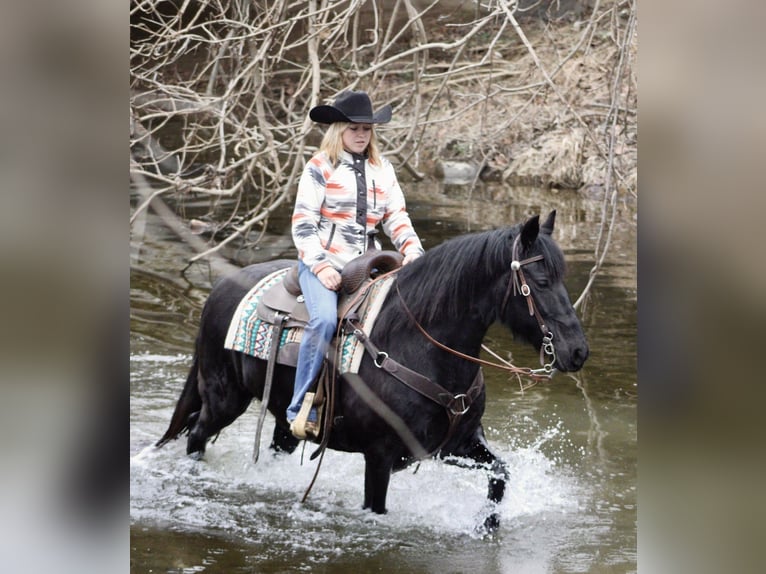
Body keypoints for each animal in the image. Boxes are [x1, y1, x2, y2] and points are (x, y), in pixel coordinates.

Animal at [156, 211, 589, 532]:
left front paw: (488, 525)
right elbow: (376, 508)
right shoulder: (379, 456)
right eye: (540, 280)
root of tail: (221, 287)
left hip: (282, 419)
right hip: (223, 397)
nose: (578, 351)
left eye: (562, 277)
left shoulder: (455, 444)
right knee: (196, 434)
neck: (419, 346)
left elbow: (500, 473)